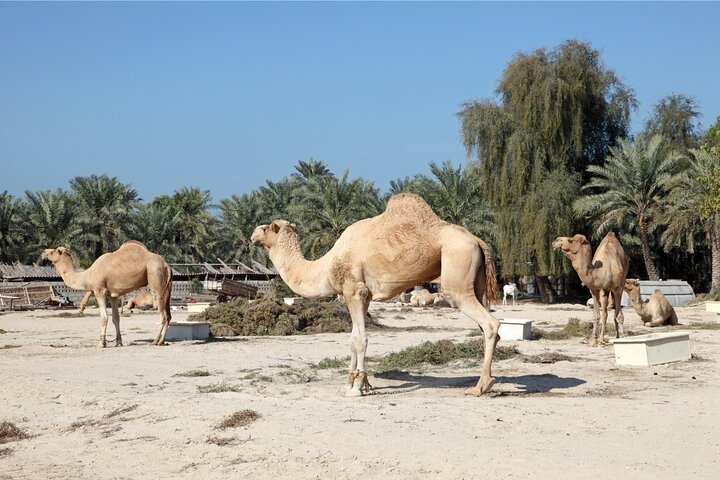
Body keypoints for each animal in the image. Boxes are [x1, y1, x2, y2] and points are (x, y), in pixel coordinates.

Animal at [42, 241, 173, 347]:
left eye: (53, 251)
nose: (43, 252)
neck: (88, 275)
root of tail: (167, 265)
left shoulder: (100, 291)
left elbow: (104, 317)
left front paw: (101, 343)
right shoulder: (112, 295)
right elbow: (116, 318)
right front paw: (118, 342)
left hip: (155, 279)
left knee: (162, 315)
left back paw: (155, 341)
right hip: (167, 288)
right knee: (168, 315)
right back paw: (162, 341)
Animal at [251, 193, 500, 397]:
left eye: (265, 228)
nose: (252, 234)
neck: (325, 266)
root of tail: (479, 241)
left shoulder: (354, 290)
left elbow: (360, 339)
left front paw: (356, 388)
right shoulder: (364, 296)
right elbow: (352, 339)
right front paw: (355, 383)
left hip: (457, 276)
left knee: (490, 323)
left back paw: (480, 386)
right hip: (476, 282)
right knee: (485, 325)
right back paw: (487, 381)